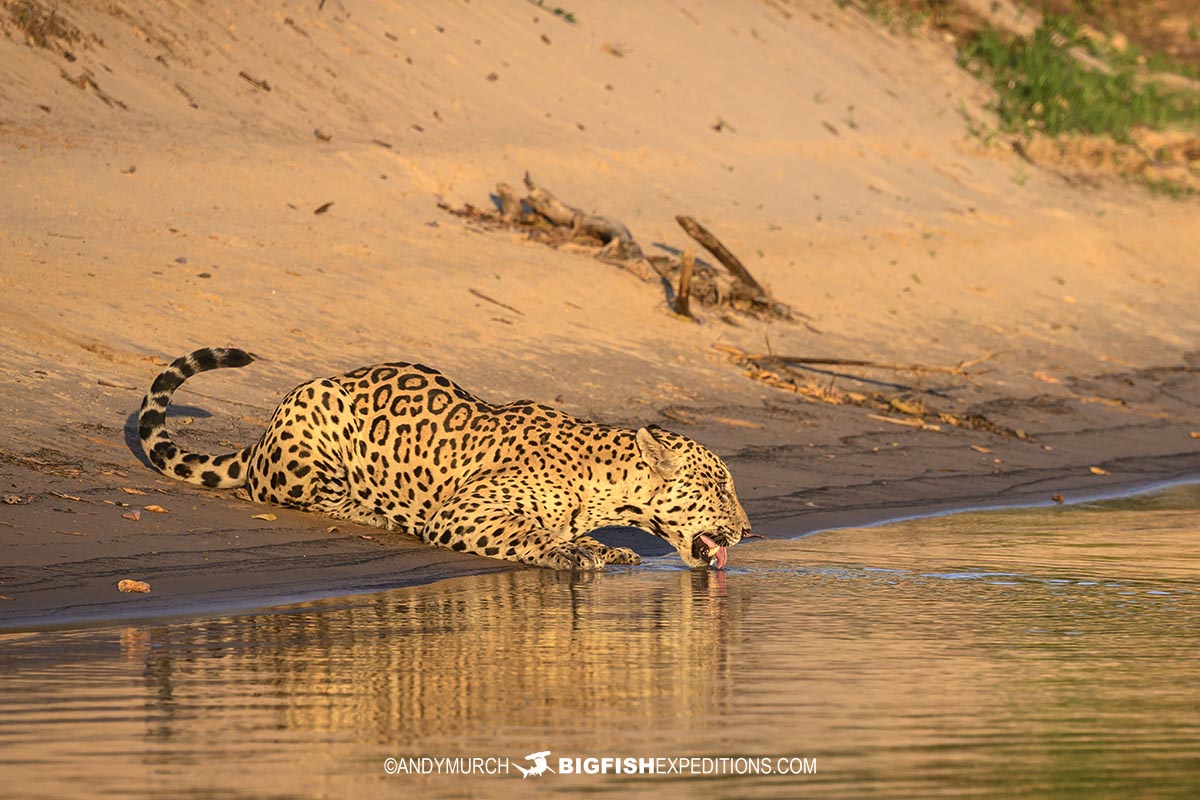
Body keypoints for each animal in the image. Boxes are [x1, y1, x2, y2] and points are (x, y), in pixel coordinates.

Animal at [137, 347, 751, 570]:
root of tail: (261, 435)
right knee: (302, 494)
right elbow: (527, 532)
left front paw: (604, 548)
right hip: (316, 420)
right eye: (720, 486)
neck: (604, 487)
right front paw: (574, 552)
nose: (749, 530)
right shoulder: (464, 514)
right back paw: (378, 511)